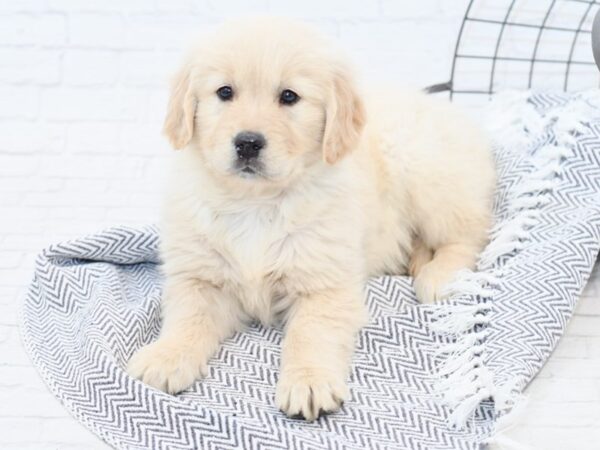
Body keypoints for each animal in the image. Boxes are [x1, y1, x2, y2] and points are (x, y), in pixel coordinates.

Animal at [125, 15, 492, 420]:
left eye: (289, 97)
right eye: (224, 92)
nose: (248, 142)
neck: (255, 203)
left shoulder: (324, 283)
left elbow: (311, 333)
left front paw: (309, 381)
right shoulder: (199, 276)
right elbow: (187, 317)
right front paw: (166, 356)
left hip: (428, 173)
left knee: (472, 231)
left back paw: (440, 274)